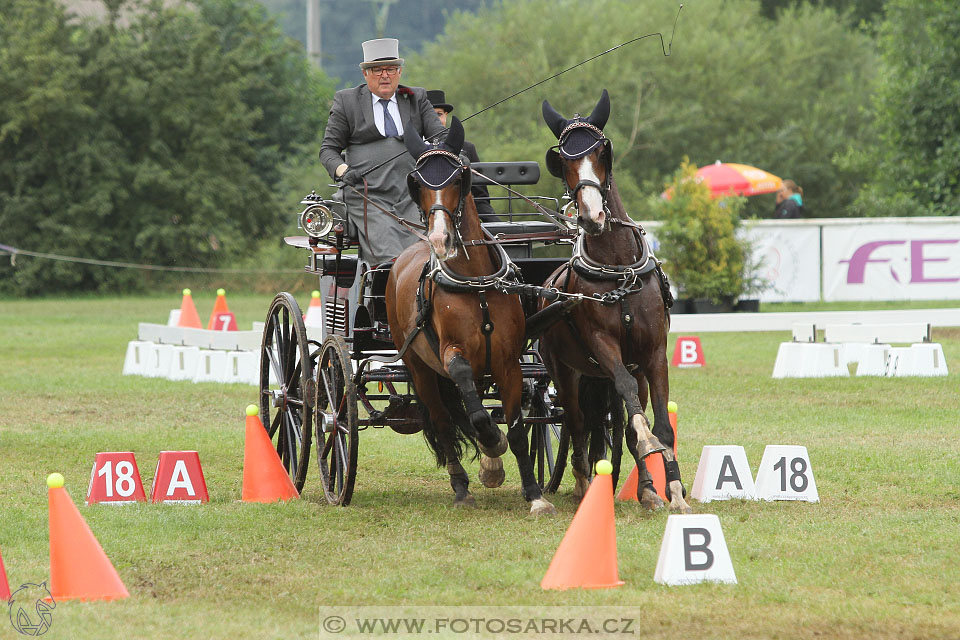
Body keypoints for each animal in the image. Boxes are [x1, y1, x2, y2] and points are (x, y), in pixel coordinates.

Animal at [386, 115, 560, 516]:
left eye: (459, 176)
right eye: (417, 182)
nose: (439, 240)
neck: (476, 283)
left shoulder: (508, 361)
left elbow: (516, 428)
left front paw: (534, 493)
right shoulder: (453, 354)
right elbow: (477, 415)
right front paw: (492, 445)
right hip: (421, 369)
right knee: (444, 421)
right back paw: (462, 486)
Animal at [540, 90, 688, 512]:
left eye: (602, 152)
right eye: (563, 161)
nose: (592, 217)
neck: (618, 268)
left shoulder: (654, 353)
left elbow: (660, 425)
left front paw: (672, 490)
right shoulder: (602, 346)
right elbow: (628, 410)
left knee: (607, 420)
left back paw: (646, 489)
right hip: (567, 373)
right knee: (575, 424)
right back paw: (582, 483)